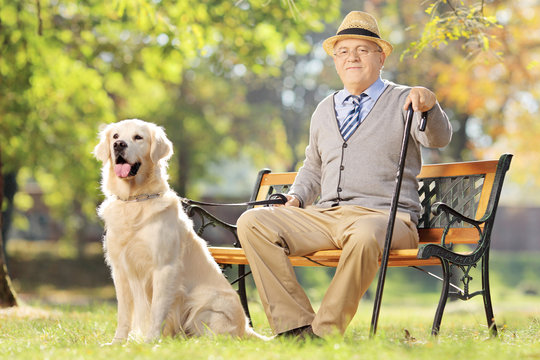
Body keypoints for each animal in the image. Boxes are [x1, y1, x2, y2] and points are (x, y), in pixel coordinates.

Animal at [93, 119, 266, 344]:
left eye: (138, 137)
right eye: (115, 136)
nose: (119, 145)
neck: (135, 200)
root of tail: (245, 328)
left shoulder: (164, 267)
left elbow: (157, 310)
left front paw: (150, 342)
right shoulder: (120, 269)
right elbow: (123, 314)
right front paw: (117, 343)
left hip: (202, 306)